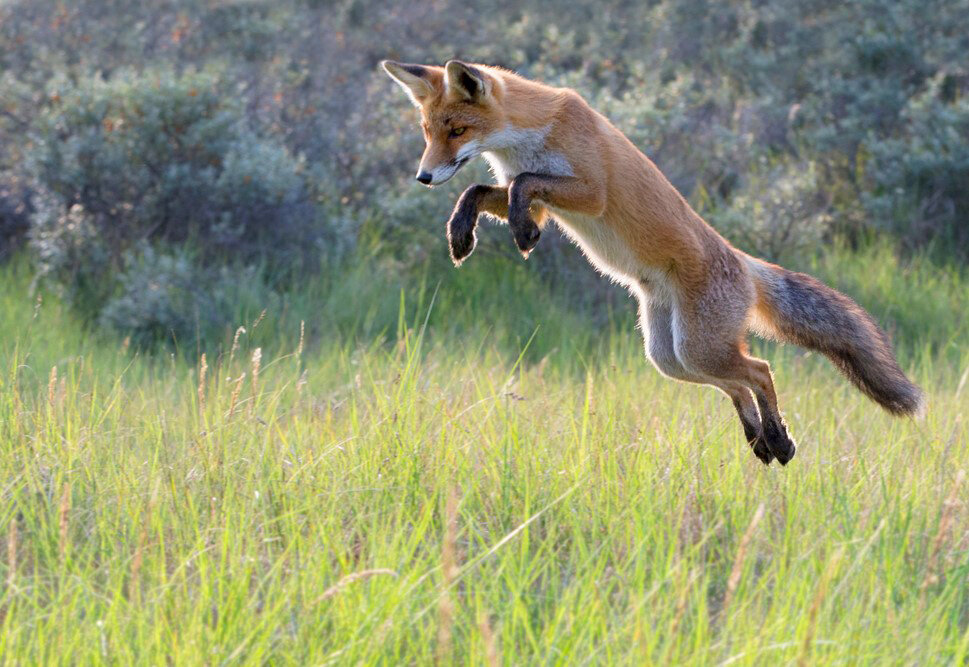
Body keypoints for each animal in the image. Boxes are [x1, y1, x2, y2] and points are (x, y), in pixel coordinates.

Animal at [382, 58, 928, 464]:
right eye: (428, 132)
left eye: (456, 130)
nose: (423, 177)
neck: (531, 136)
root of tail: (742, 262)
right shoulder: (541, 197)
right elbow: (480, 190)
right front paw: (460, 233)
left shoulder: (589, 192)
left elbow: (520, 184)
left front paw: (520, 233)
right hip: (672, 355)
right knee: (735, 384)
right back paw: (763, 441)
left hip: (696, 347)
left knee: (760, 369)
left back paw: (777, 437)